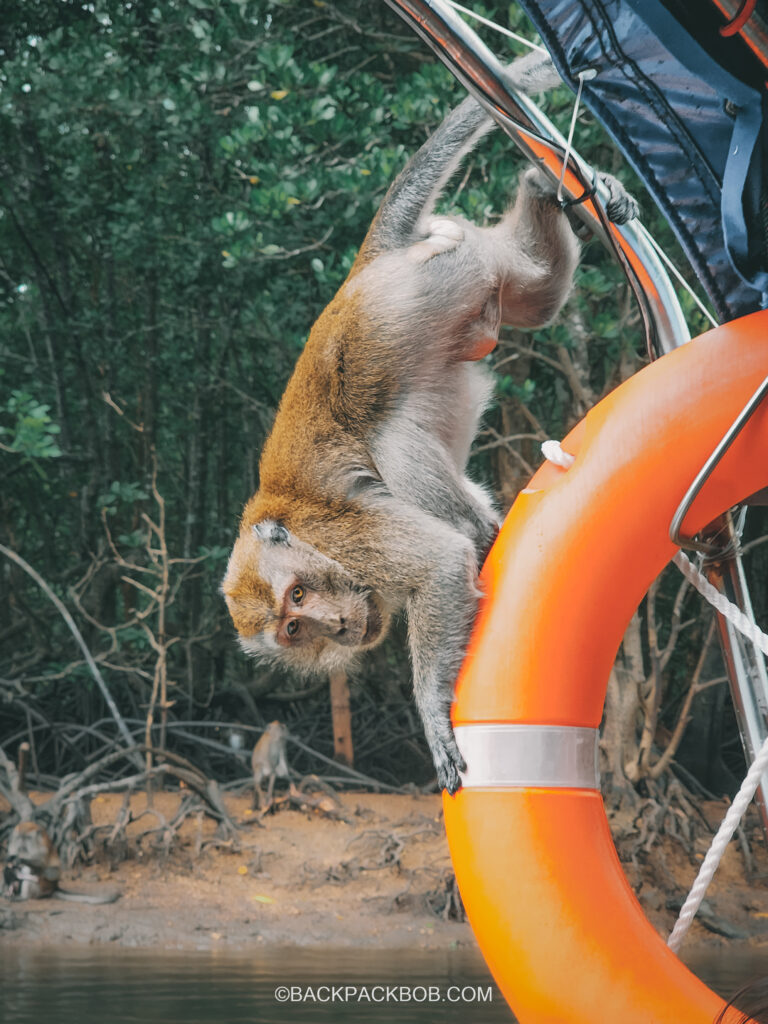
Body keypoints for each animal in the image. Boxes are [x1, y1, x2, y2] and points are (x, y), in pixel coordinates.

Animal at [221, 51, 638, 794]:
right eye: (293, 629)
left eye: (300, 593)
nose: (333, 624)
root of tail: (363, 271)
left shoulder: (348, 535)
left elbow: (442, 562)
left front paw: (432, 708)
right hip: (464, 284)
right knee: (533, 298)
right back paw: (539, 186)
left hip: (426, 291)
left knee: (393, 445)